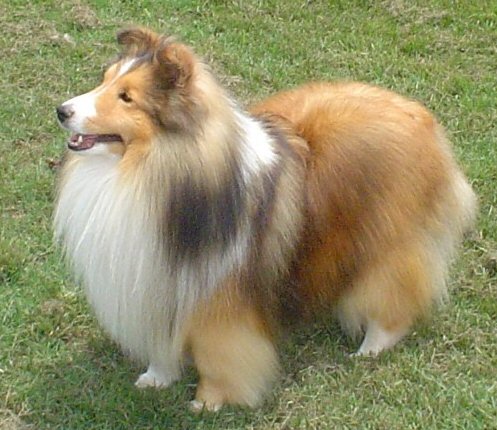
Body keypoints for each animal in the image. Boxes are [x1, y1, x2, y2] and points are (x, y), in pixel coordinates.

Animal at [54, 27, 477, 411]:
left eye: (126, 97)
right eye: (105, 80)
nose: (62, 111)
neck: (146, 171)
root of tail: (420, 115)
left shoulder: (218, 301)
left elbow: (218, 356)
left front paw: (208, 401)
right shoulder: (158, 280)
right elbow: (163, 342)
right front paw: (156, 378)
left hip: (389, 244)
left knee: (393, 297)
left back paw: (369, 349)